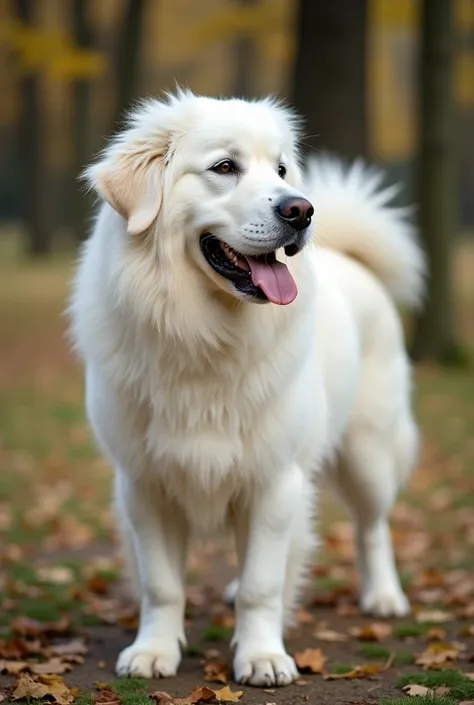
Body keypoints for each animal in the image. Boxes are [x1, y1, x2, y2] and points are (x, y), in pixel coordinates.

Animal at [69, 91, 426, 684]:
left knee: (373, 527)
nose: (302, 210)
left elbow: (262, 583)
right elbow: (162, 585)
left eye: (280, 170)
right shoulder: (145, 484)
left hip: (368, 454)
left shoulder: (273, 480)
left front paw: (261, 656)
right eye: (224, 167)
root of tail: (351, 258)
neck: (202, 334)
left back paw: (384, 597)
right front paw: (154, 651)